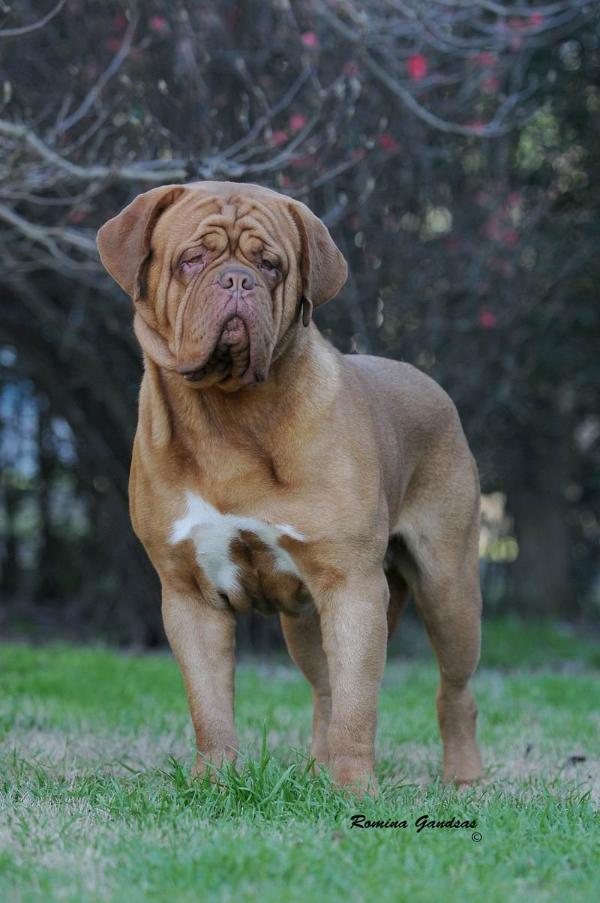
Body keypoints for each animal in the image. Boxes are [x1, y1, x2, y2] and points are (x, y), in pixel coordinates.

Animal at [97, 182, 482, 792]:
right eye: (192, 260)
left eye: (271, 265)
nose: (238, 281)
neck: (228, 415)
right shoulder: (188, 594)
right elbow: (210, 705)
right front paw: (215, 782)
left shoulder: (352, 585)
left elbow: (357, 705)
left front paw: (355, 789)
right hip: (302, 618)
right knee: (324, 689)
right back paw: (317, 770)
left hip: (449, 585)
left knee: (454, 687)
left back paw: (464, 780)